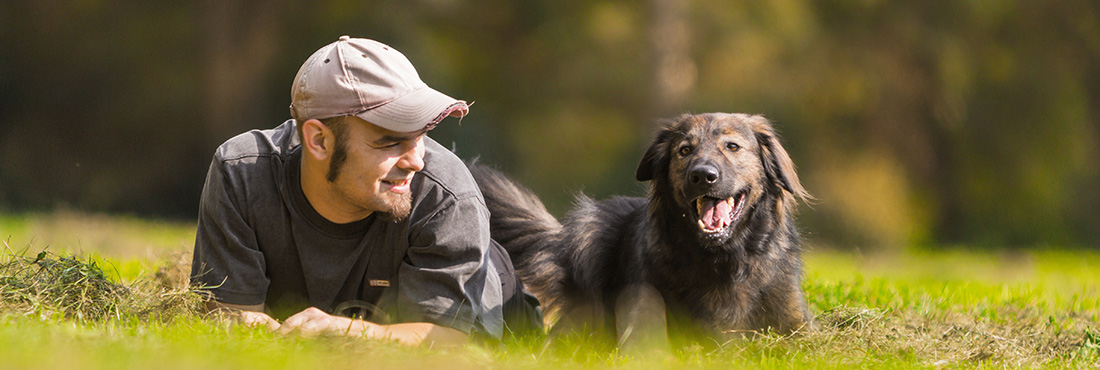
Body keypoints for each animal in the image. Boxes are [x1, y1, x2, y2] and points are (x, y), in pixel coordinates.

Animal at [468, 112, 814, 350]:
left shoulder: (796, 323)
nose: (703, 175)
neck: (722, 259)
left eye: (732, 146)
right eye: (684, 150)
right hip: (589, 233)